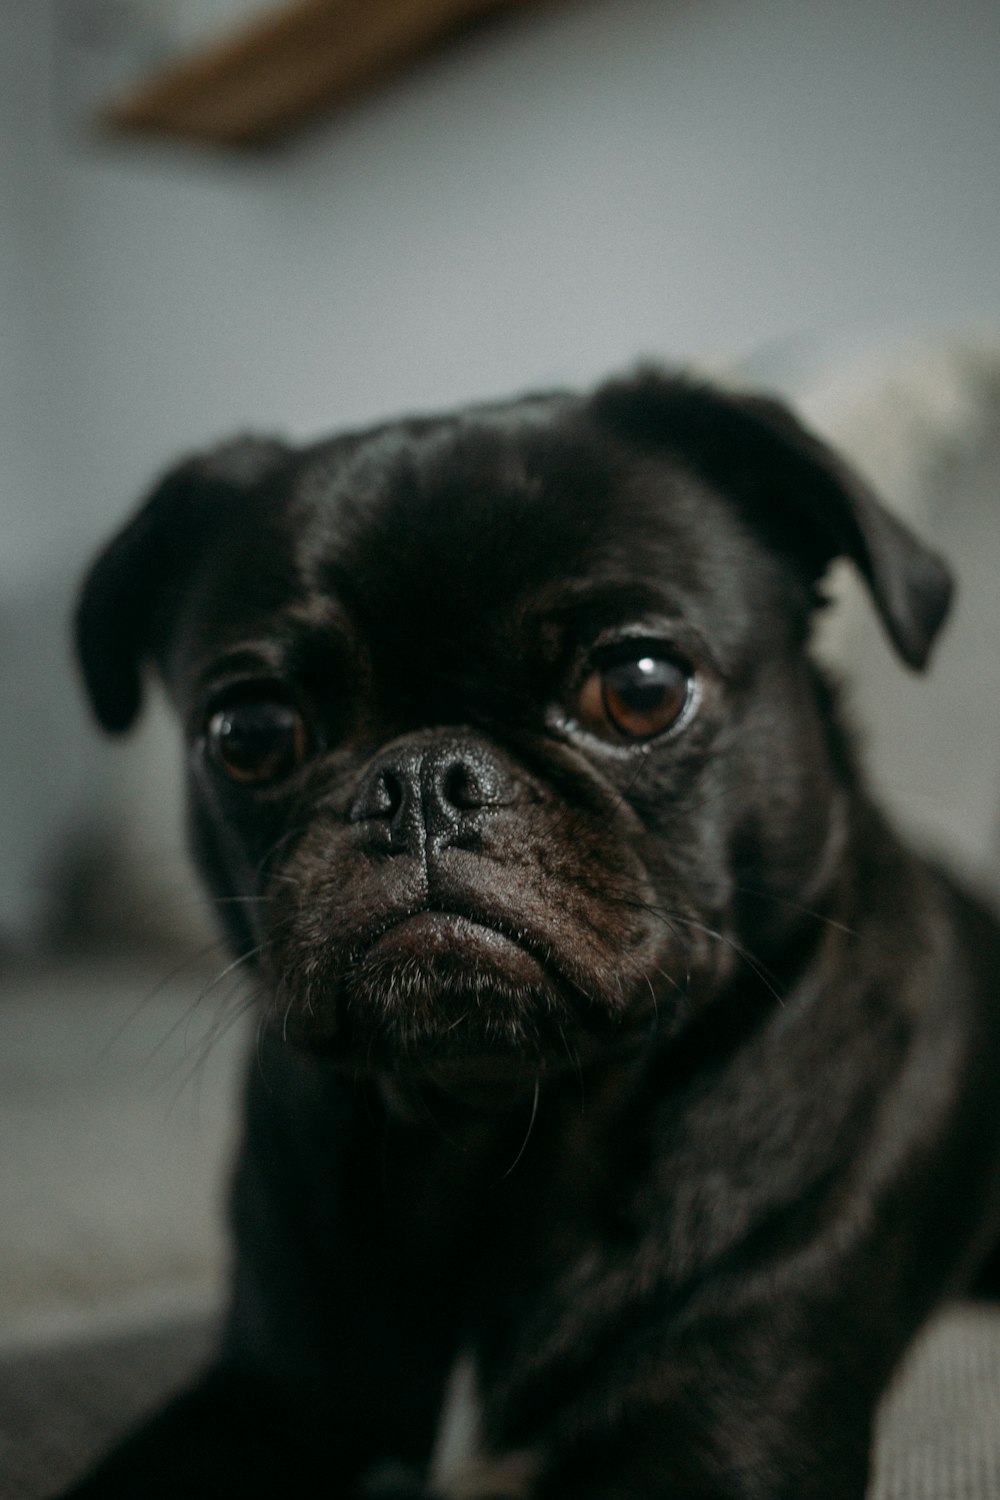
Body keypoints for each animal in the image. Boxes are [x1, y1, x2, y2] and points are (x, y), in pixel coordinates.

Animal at [66, 372, 1000, 1500]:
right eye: (249, 734)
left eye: (640, 688)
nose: (422, 778)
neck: (500, 1132)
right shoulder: (263, 1400)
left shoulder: (715, 1430)